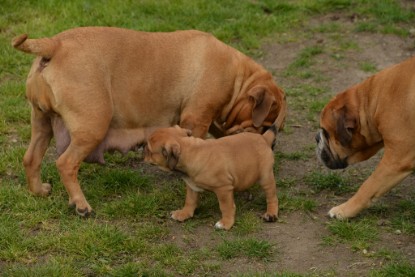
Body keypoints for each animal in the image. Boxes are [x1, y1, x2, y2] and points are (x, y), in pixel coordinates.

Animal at [12, 26, 286, 216]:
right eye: (266, 123)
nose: (271, 144)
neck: (238, 78)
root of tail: (55, 44)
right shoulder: (197, 118)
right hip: (93, 126)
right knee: (66, 164)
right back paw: (81, 205)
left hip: (42, 123)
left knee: (31, 159)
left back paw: (39, 191)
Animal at [144, 125, 280, 229]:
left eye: (149, 150)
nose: (143, 152)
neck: (190, 150)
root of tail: (263, 138)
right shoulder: (192, 186)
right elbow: (190, 201)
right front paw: (184, 213)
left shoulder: (223, 189)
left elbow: (226, 206)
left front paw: (226, 223)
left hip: (265, 177)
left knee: (271, 196)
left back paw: (271, 213)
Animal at [316, 56, 414, 220]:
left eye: (326, 132)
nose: (317, 137)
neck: (373, 100)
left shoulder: (396, 161)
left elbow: (368, 186)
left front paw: (344, 210)